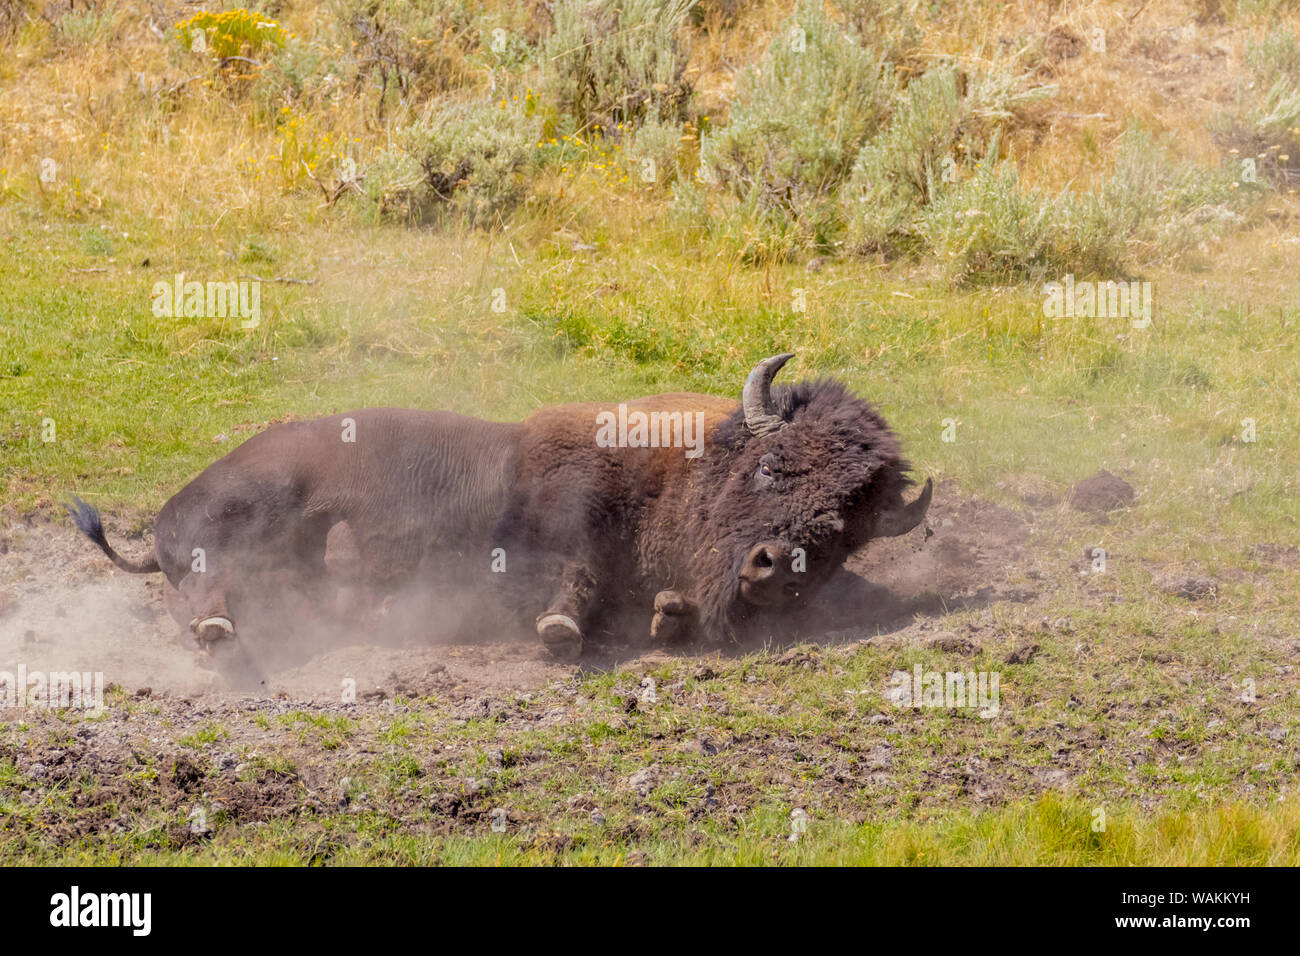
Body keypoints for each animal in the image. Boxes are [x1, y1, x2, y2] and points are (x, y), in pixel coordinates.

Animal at [71, 353, 930, 681]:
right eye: (771, 467)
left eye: (845, 532)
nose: (771, 573)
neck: (675, 470)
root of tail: (166, 517)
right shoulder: (556, 527)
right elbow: (570, 577)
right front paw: (559, 632)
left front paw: (666, 615)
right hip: (241, 522)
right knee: (207, 593)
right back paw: (226, 634)